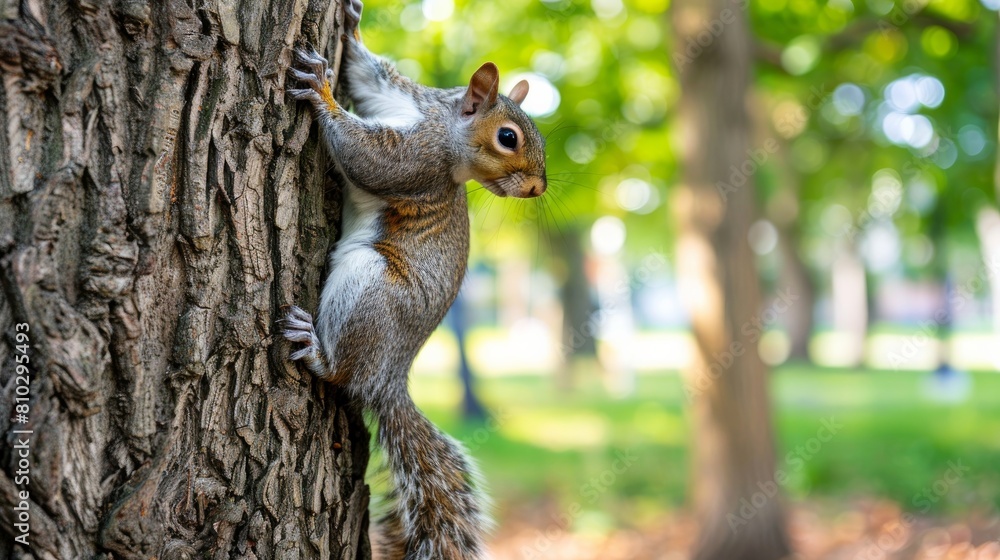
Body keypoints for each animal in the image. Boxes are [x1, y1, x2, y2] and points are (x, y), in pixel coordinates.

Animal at [282, 0, 548, 556]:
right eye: (508, 137)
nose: (538, 188)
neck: (441, 125)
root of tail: (389, 379)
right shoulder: (403, 96)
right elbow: (368, 73)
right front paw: (353, 26)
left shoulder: (418, 163)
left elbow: (374, 161)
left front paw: (322, 95)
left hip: (371, 291)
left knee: (343, 375)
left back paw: (315, 351)